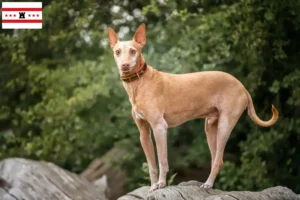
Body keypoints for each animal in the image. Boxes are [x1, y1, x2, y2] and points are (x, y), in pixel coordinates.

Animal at [106, 23, 278, 192]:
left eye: (133, 51)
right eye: (117, 52)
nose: (124, 65)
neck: (139, 83)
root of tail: (241, 86)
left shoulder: (159, 127)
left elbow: (162, 160)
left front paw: (161, 183)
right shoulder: (144, 133)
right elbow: (151, 165)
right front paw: (153, 186)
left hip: (225, 125)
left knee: (218, 160)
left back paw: (207, 184)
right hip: (210, 127)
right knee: (216, 158)